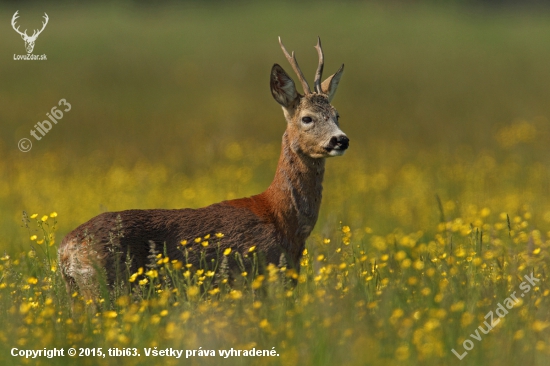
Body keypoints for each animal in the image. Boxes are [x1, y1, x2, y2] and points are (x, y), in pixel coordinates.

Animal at [59, 36, 350, 300]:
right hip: (103, 287)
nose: (341, 139)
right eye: (307, 118)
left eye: (337, 115)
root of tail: (65, 250)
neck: (280, 217)